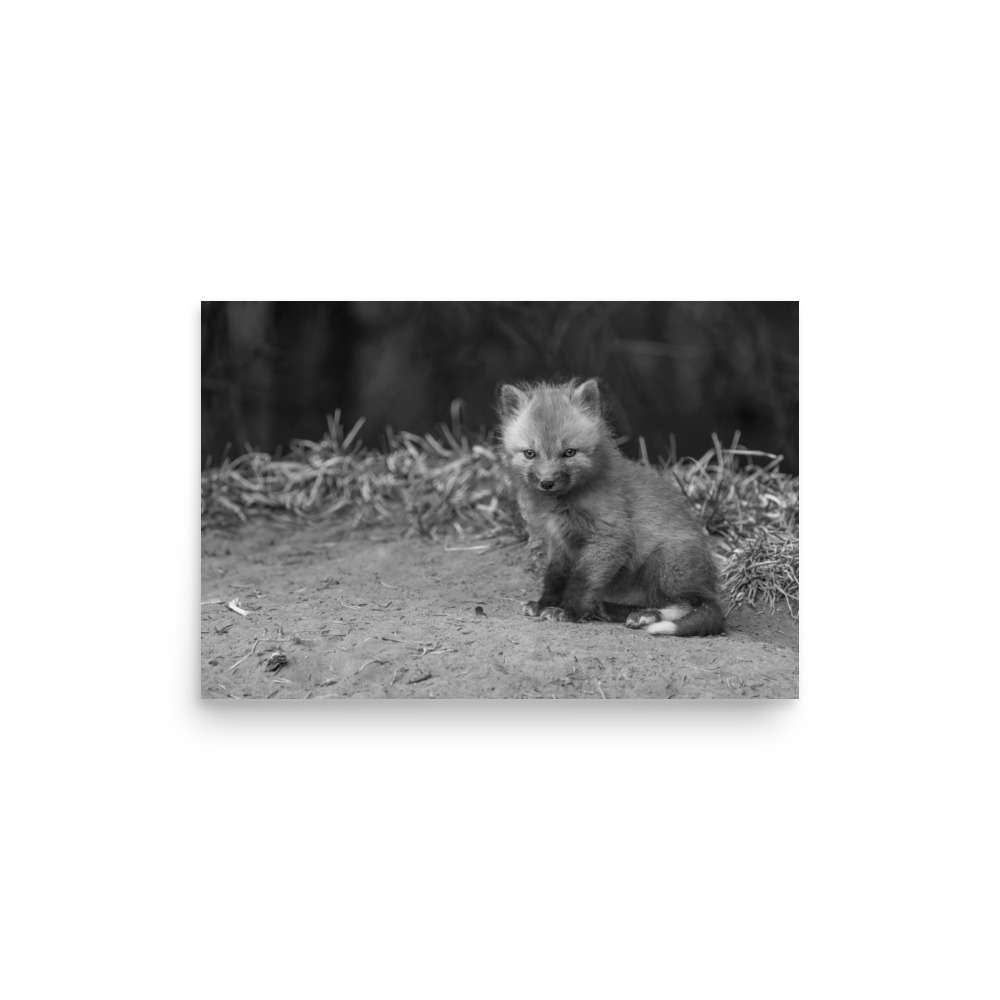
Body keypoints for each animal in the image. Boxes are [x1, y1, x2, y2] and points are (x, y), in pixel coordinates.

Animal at [497, 377, 725, 637]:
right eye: (530, 453)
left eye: (569, 452)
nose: (547, 483)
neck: (563, 505)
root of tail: (709, 583)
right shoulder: (559, 543)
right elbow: (554, 577)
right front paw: (545, 603)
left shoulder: (608, 537)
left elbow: (582, 580)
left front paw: (568, 611)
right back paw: (610, 609)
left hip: (665, 562)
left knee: (690, 604)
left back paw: (646, 616)